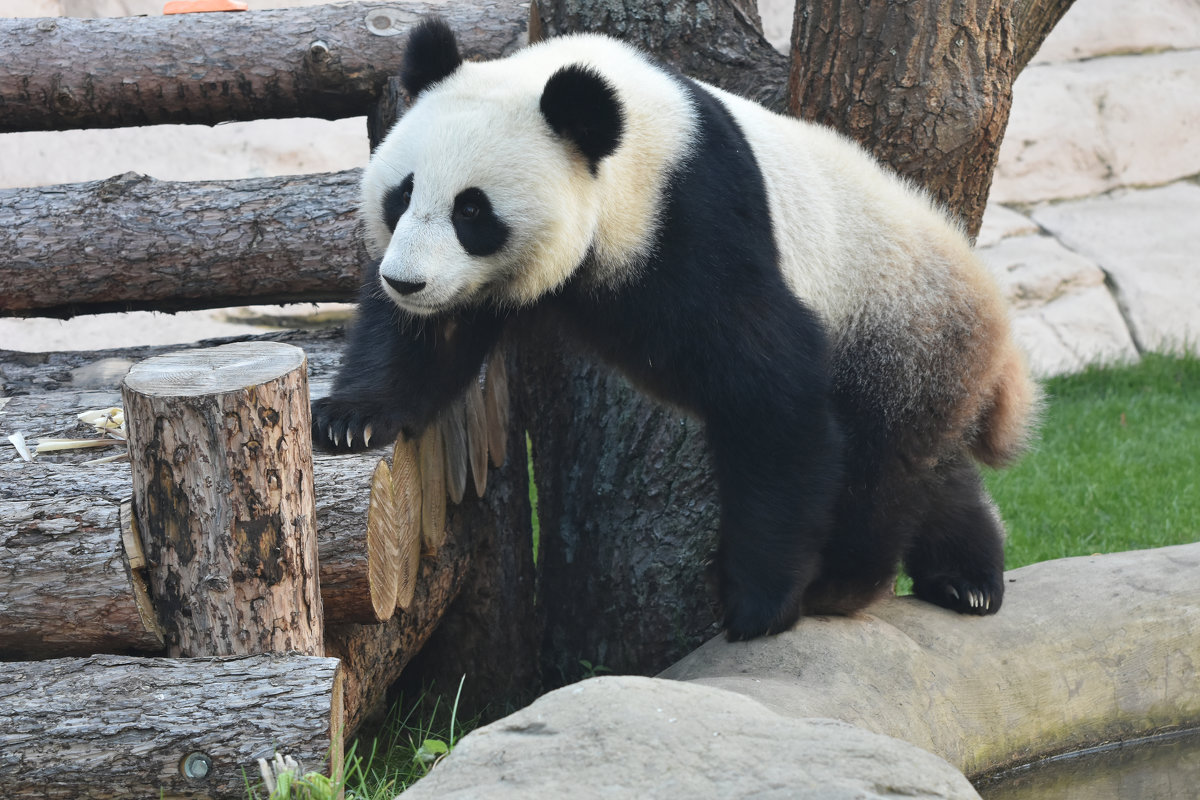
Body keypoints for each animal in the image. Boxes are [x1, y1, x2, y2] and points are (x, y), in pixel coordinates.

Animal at [312, 18, 1041, 642]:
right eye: (402, 193)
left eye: (472, 211)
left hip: (898, 328)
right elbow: (430, 340)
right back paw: (969, 578)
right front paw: (351, 419)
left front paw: (757, 603)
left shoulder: (698, 218)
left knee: (879, 463)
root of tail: (997, 325)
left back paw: (844, 584)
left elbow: (772, 388)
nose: (405, 282)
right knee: (933, 464)